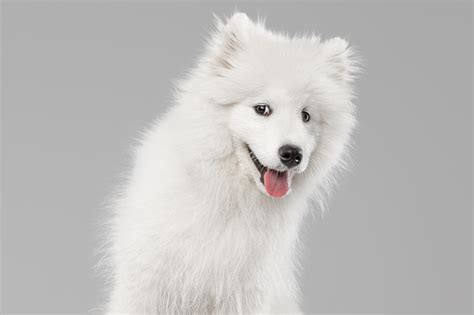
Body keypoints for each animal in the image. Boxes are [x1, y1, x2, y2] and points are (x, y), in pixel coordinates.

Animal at [104, 11, 360, 314]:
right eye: (262, 109)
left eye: (306, 116)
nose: (292, 154)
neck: (227, 196)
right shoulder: (147, 287)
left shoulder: (245, 295)